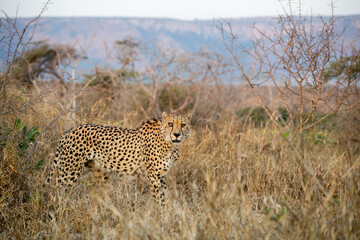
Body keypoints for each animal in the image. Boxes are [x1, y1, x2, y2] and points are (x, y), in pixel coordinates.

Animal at [47, 111, 191, 205]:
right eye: (170, 124)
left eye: (183, 125)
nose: (176, 135)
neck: (168, 141)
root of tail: (69, 130)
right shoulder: (153, 176)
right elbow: (159, 199)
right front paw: (160, 219)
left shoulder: (161, 176)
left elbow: (164, 196)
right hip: (68, 172)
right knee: (55, 191)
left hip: (100, 173)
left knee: (95, 192)